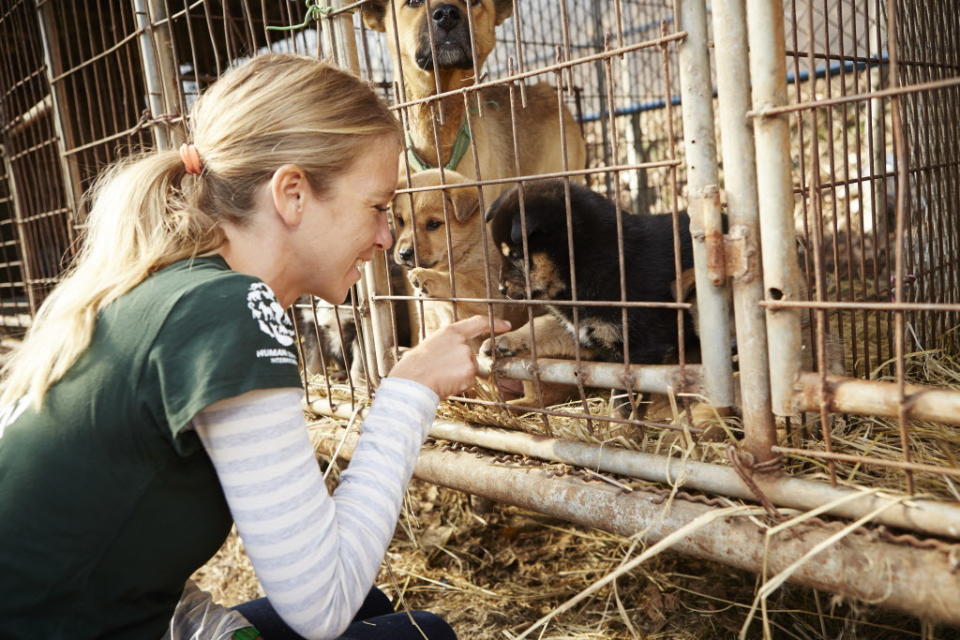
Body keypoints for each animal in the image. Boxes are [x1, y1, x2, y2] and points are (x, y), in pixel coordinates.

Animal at [480, 180, 696, 384]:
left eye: (516, 255)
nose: (501, 289)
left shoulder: (642, 347)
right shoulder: (583, 334)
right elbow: (542, 323)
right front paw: (503, 340)